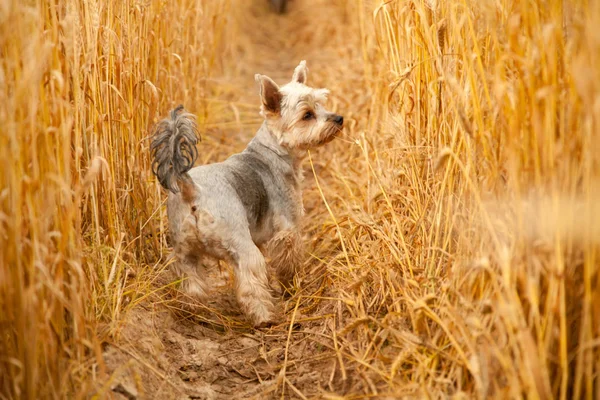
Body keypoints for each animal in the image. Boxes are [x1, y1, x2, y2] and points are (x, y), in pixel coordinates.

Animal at [150, 61, 342, 326]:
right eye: (307, 115)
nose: (339, 118)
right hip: (241, 245)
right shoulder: (288, 230)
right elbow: (288, 261)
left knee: (191, 280)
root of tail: (193, 190)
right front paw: (290, 287)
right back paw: (264, 317)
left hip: (185, 252)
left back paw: (192, 310)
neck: (273, 150)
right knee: (250, 282)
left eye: (321, 104)